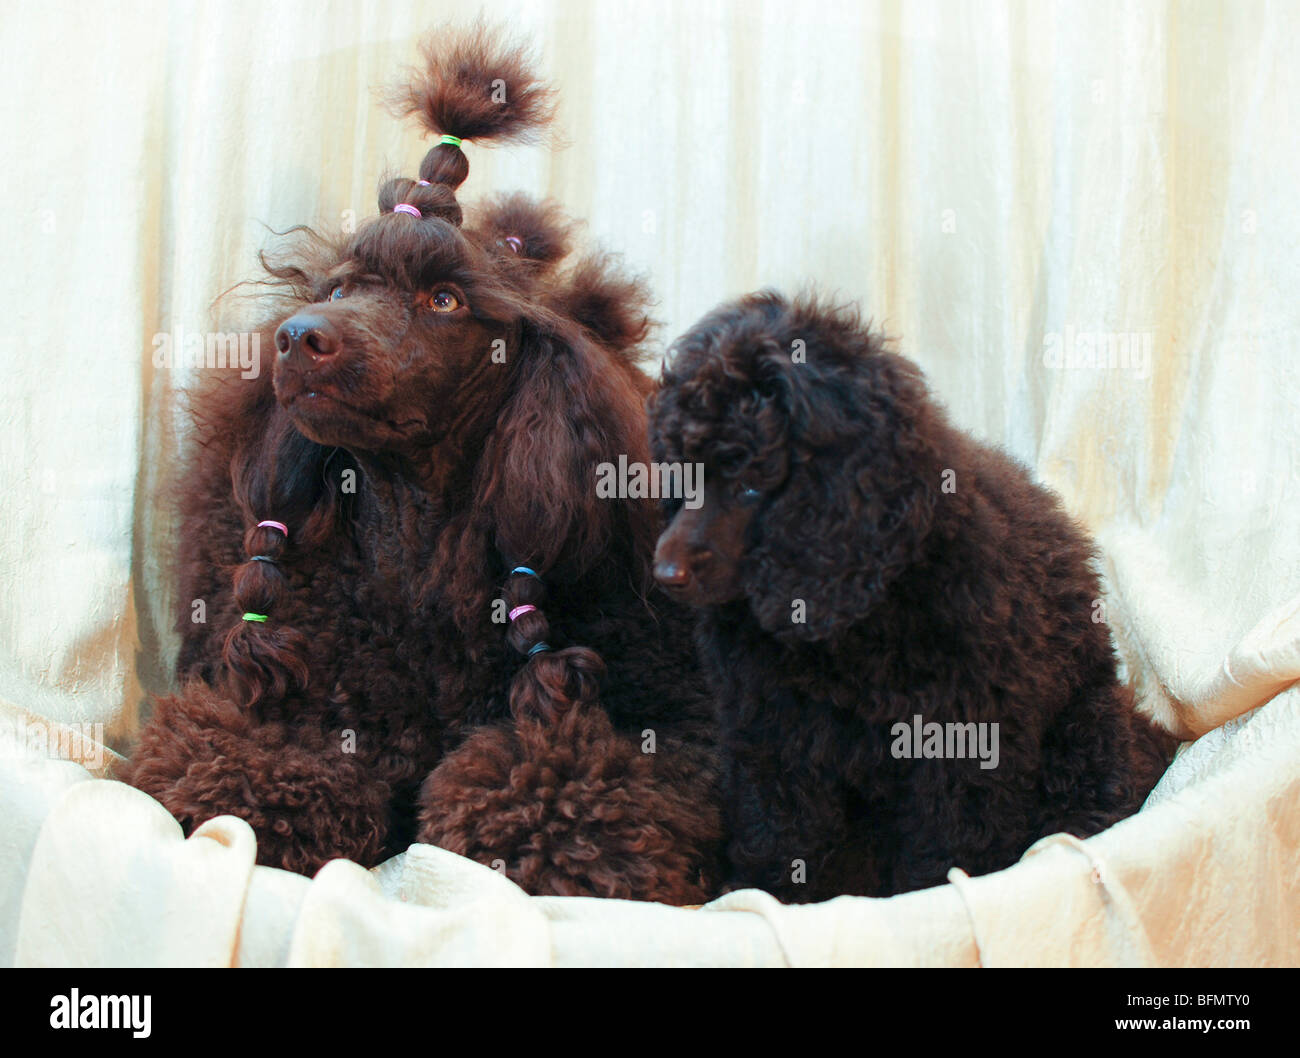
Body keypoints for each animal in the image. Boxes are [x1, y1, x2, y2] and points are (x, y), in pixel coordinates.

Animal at [118, 24, 728, 904]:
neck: (417, 546)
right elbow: (242, 767)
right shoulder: (283, 704)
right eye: (345, 287)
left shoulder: (670, 728)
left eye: (445, 300)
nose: (299, 337)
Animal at [650, 289, 1180, 904]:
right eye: (682, 472)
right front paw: (757, 893)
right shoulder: (770, 727)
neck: (847, 624)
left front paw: (929, 893)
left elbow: (948, 843)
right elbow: (777, 827)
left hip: (1083, 723)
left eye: (752, 483)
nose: (664, 572)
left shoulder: (961, 740)